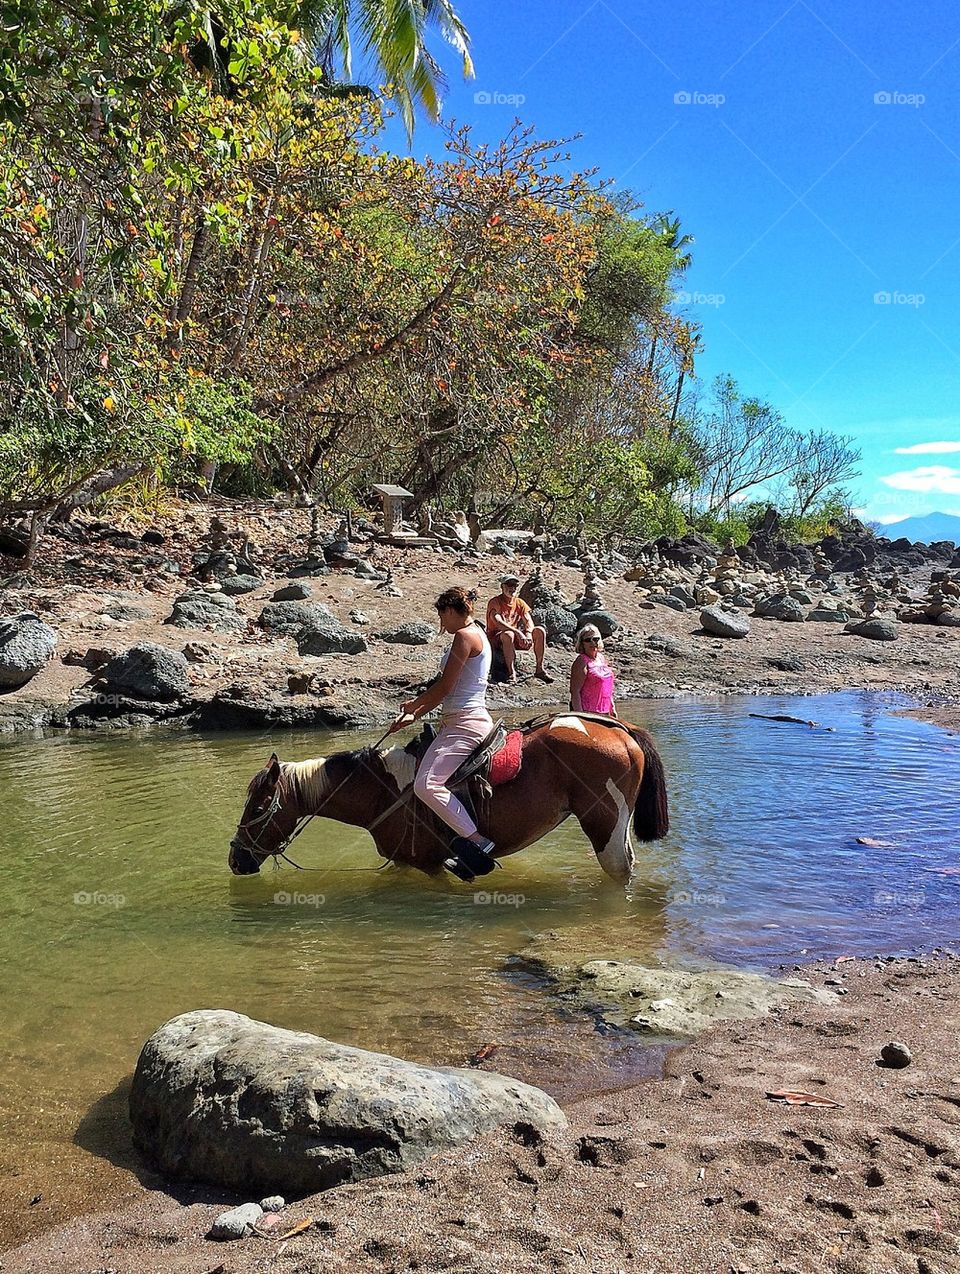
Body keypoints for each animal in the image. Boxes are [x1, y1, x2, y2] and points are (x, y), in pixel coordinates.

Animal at [228, 714, 669, 886]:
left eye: (258, 808)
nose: (236, 859)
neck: (384, 792)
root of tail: (619, 728)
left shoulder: (431, 864)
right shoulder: (404, 863)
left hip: (605, 825)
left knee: (619, 870)